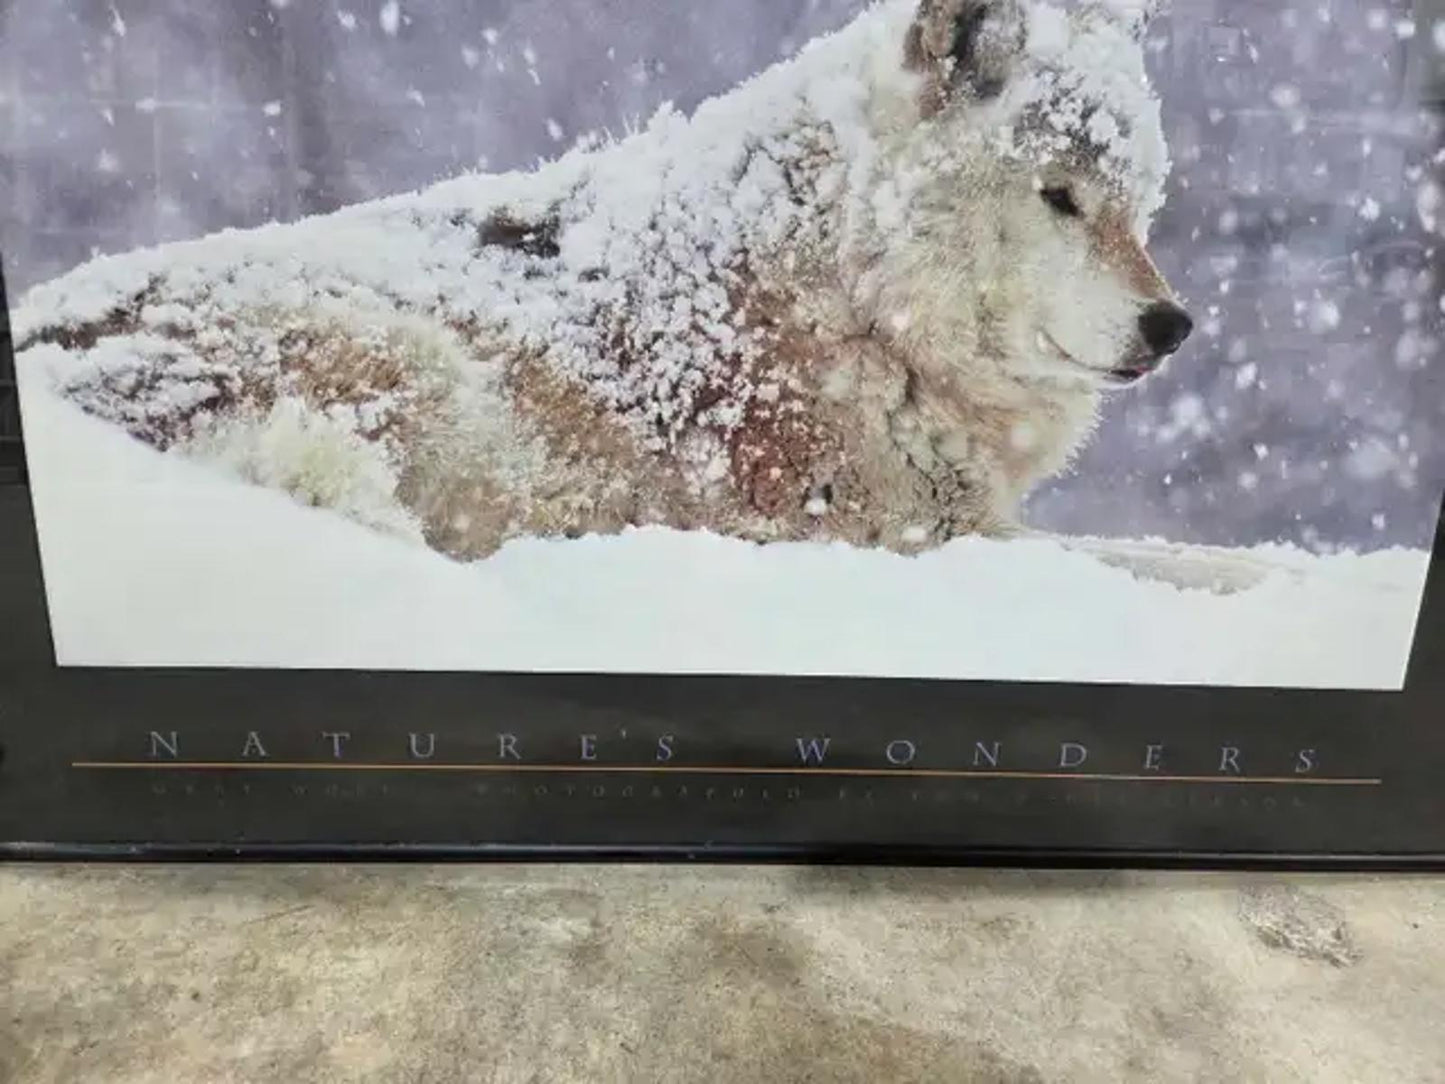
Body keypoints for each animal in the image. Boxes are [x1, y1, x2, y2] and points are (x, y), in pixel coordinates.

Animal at [15, 0, 1194, 561]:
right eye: (1059, 197)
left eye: (1135, 202)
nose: (1171, 324)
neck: (853, 298)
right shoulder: (903, 533)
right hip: (406, 362)